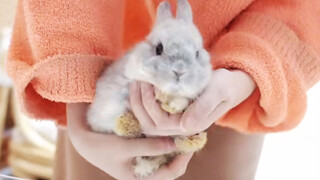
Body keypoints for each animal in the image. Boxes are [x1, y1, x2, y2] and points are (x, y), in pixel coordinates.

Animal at [87, 0, 212, 177]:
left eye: (197, 53)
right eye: (158, 49)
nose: (179, 70)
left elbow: (181, 101)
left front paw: (173, 106)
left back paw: (194, 141)